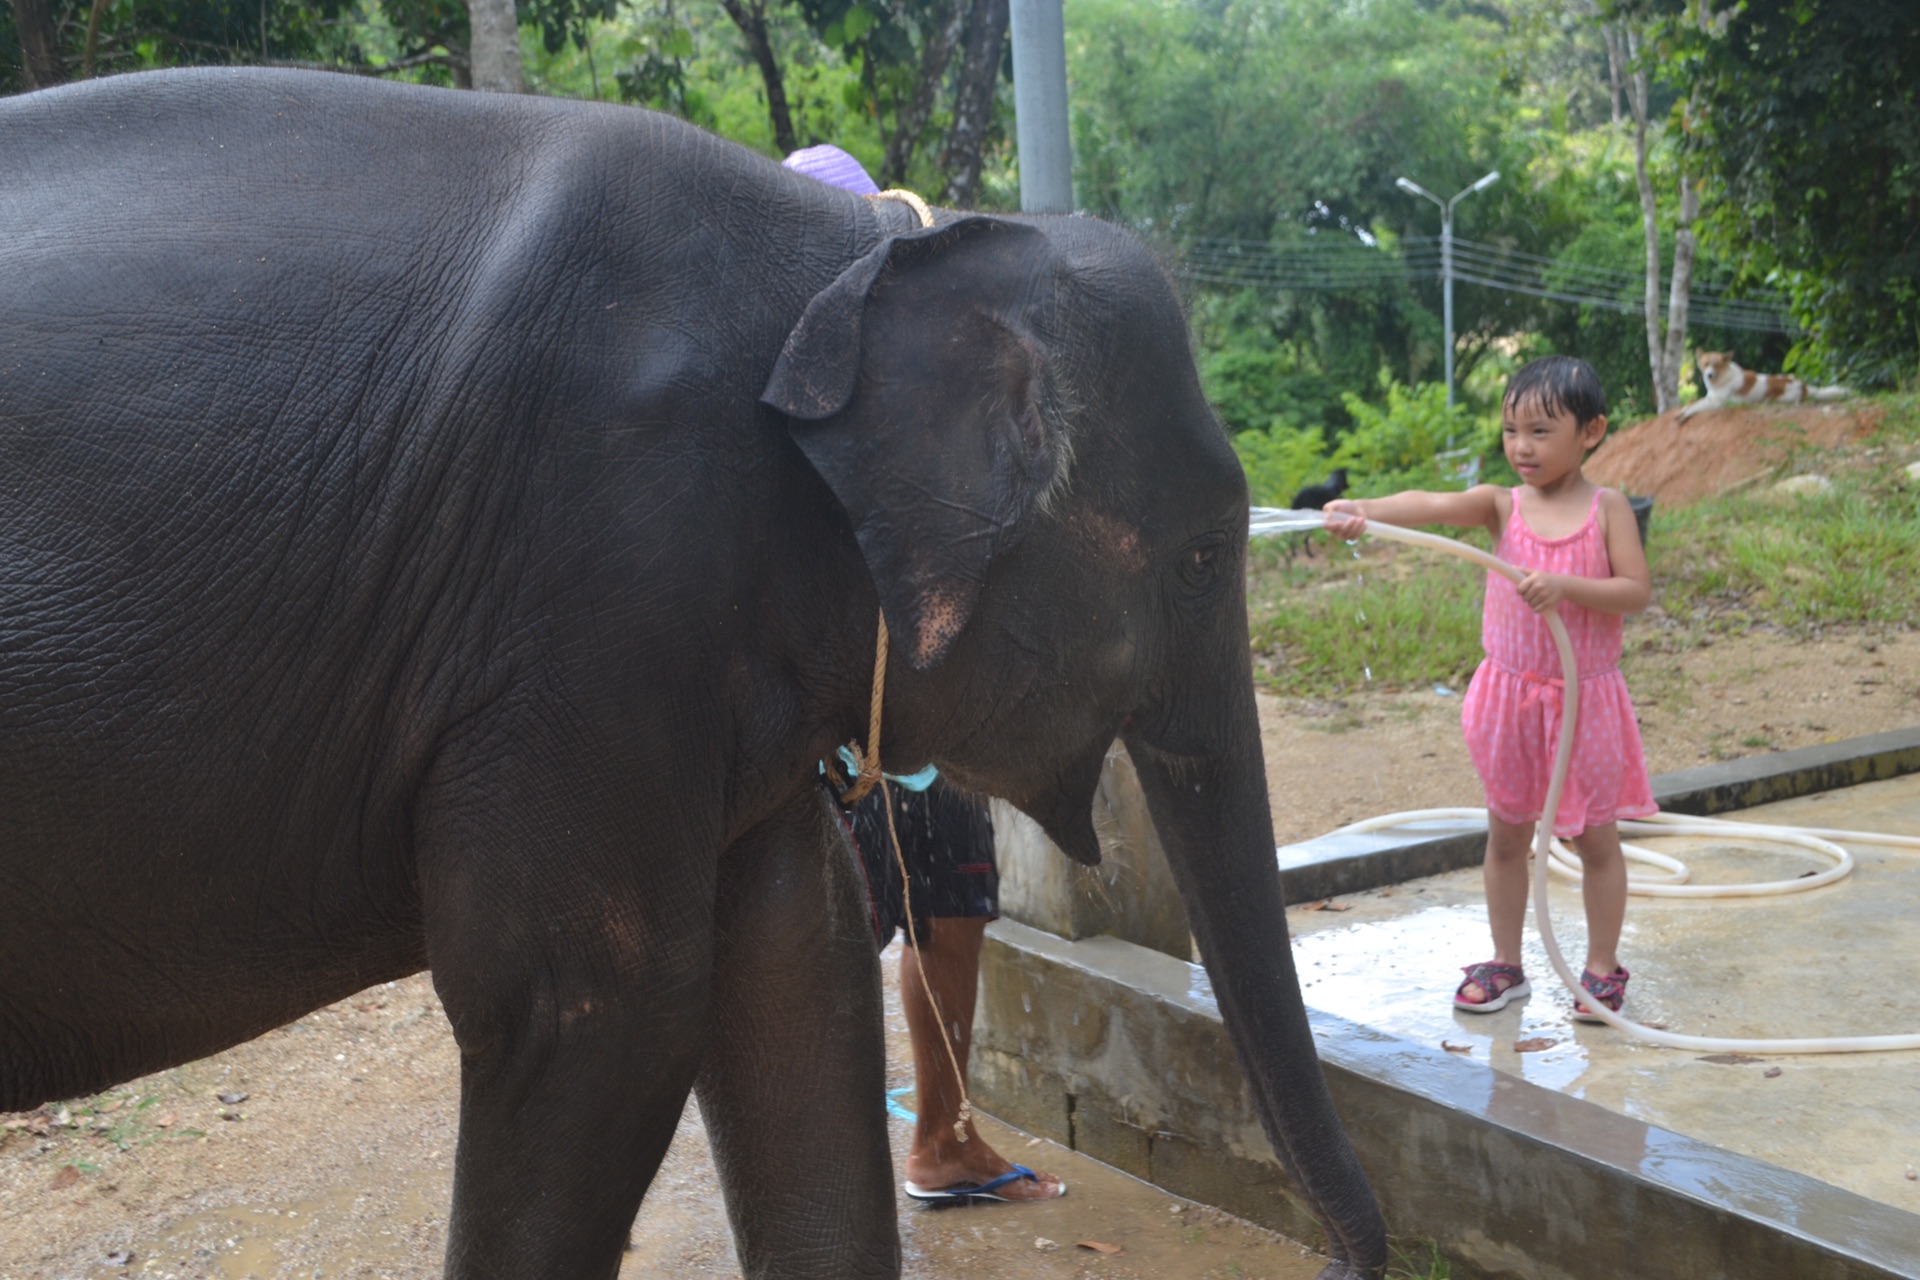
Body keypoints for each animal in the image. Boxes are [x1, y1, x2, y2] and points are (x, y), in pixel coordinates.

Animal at [0, 70, 1382, 1280]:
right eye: (1202, 559)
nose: (1340, 1255)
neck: (851, 257)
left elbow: (797, 969)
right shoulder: (599, 576)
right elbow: (590, 1007)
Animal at [1681, 353, 1843, 422]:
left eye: (1716, 365)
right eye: (1706, 364)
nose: (1709, 375)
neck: (1722, 377)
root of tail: (1804, 386)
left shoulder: (1718, 403)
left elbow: (1697, 406)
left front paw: (1686, 414)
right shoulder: (1710, 398)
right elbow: (1695, 403)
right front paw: (1684, 410)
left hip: (1784, 398)